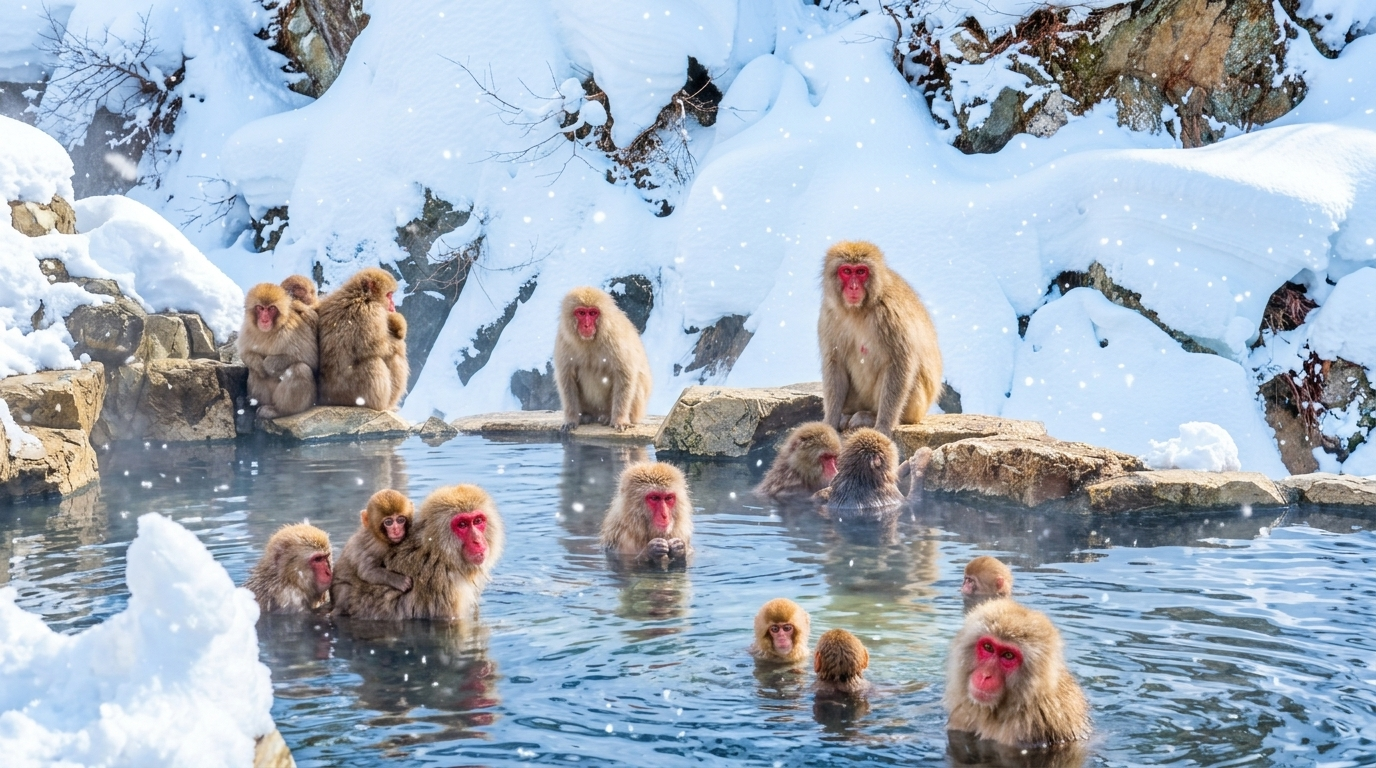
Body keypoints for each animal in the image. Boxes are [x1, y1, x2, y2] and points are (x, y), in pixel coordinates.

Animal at [237, 283, 318, 420]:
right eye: (260, 308)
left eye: (271, 309)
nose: (264, 319)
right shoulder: (247, 329)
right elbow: (246, 353)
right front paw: (259, 364)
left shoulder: (293, 330)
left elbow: (311, 359)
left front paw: (268, 364)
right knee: (254, 370)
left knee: (300, 369)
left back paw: (279, 411)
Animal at [317, 267, 409, 411]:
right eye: (389, 295)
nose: (393, 305)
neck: (361, 296)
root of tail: (326, 399)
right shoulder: (371, 312)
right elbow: (380, 347)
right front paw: (398, 325)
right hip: (351, 394)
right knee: (379, 359)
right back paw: (383, 405)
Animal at [553, 286, 653, 432]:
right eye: (581, 313)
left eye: (593, 313)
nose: (587, 325)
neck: (589, 341)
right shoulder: (563, 339)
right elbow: (566, 377)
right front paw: (571, 419)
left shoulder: (615, 337)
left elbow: (624, 374)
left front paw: (620, 419)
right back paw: (586, 416)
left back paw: (607, 416)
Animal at [818, 240, 942, 436]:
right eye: (847, 271)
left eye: (861, 272)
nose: (853, 287)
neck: (858, 310)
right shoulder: (828, 315)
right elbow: (834, 362)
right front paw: (830, 421)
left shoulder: (890, 313)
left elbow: (899, 362)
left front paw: (883, 424)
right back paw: (847, 415)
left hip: (916, 406)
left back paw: (869, 416)